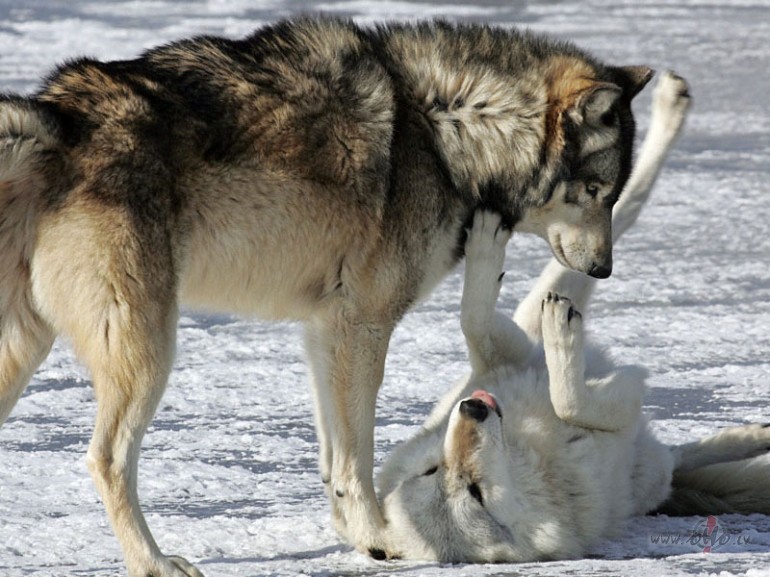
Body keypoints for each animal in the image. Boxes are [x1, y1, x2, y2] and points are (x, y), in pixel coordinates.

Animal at [0, 15, 656, 572]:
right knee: (106, 459)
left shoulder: (323, 331)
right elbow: (356, 456)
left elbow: (331, 455)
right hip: (149, 353)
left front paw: (353, 535)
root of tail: (54, 115)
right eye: (595, 191)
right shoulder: (363, 325)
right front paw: (379, 535)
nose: (604, 270)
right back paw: (155, 563)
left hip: (33, 349)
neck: (449, 132)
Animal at [376, 73, 768, 564]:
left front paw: (487, 243)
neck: (537, 450)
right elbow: (577, 398)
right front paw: (565, 336)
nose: (473, 407)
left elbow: (472, 320)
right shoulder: (625, 403)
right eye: (473, 494)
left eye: (430, 470)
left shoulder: (504, 355)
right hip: (651, 462)